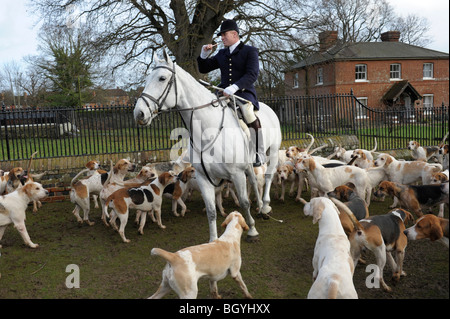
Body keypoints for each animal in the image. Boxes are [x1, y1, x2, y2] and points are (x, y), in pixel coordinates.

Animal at [134, 52, 282, 242]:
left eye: (162, 78)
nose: (139, 113)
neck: (208, 130)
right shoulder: (204, 178)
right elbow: (211, 211)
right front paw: (213, 241)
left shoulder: (236, 174)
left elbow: (243, 202)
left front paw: (252, 231)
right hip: (249, 165)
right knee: (255, 182)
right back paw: (261, 206)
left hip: (272, 153)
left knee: (268, 176)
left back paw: (265, 207)